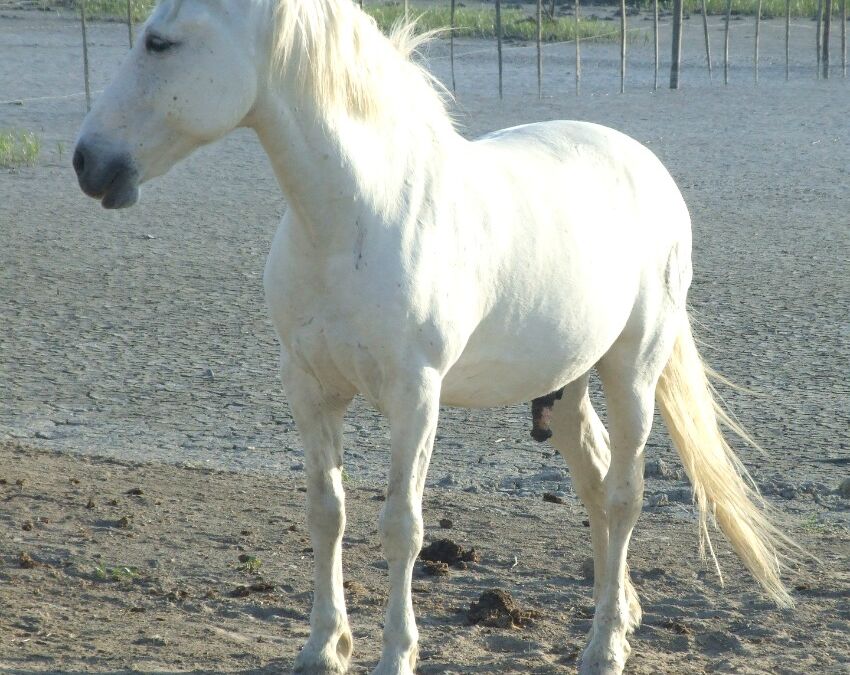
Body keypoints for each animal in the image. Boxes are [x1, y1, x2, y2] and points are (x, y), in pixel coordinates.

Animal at [74, 2, 796, 672]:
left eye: (159, 41)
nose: (87, 161)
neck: (357, 217)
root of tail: (646, 167)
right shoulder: (308, 388)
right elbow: (326, 512)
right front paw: (323, 646)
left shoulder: (415, 397)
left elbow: (402, 526)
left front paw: (396, 653)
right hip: (563, 388)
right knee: (594, 485)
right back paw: (621, 611)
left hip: (632, 372)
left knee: (622, 497)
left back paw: (604, 646)